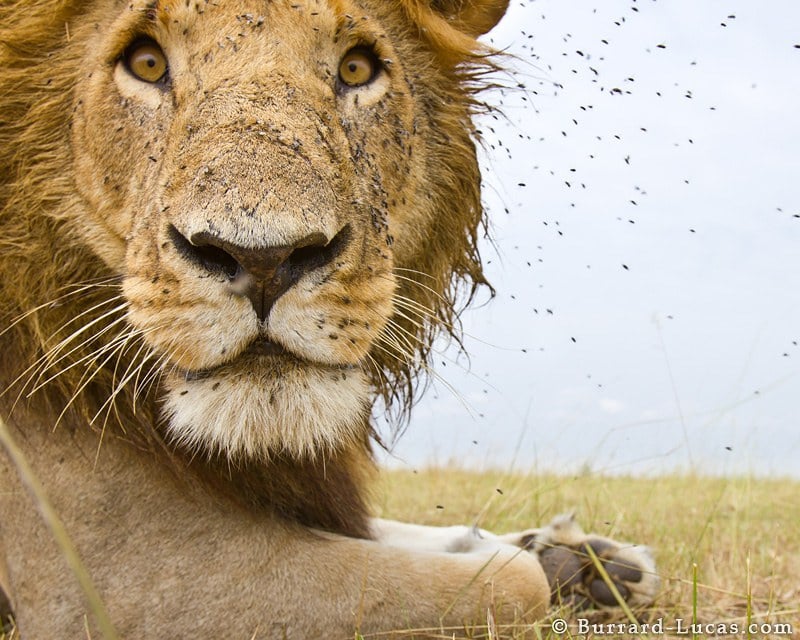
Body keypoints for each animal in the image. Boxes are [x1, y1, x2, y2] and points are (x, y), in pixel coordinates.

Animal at [1, 1, 656, 636]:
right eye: (146, 62)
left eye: (356, 69)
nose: (263, 260)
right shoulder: (121, 584)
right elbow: (514, 582)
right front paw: (545, 562)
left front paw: (584, 558)